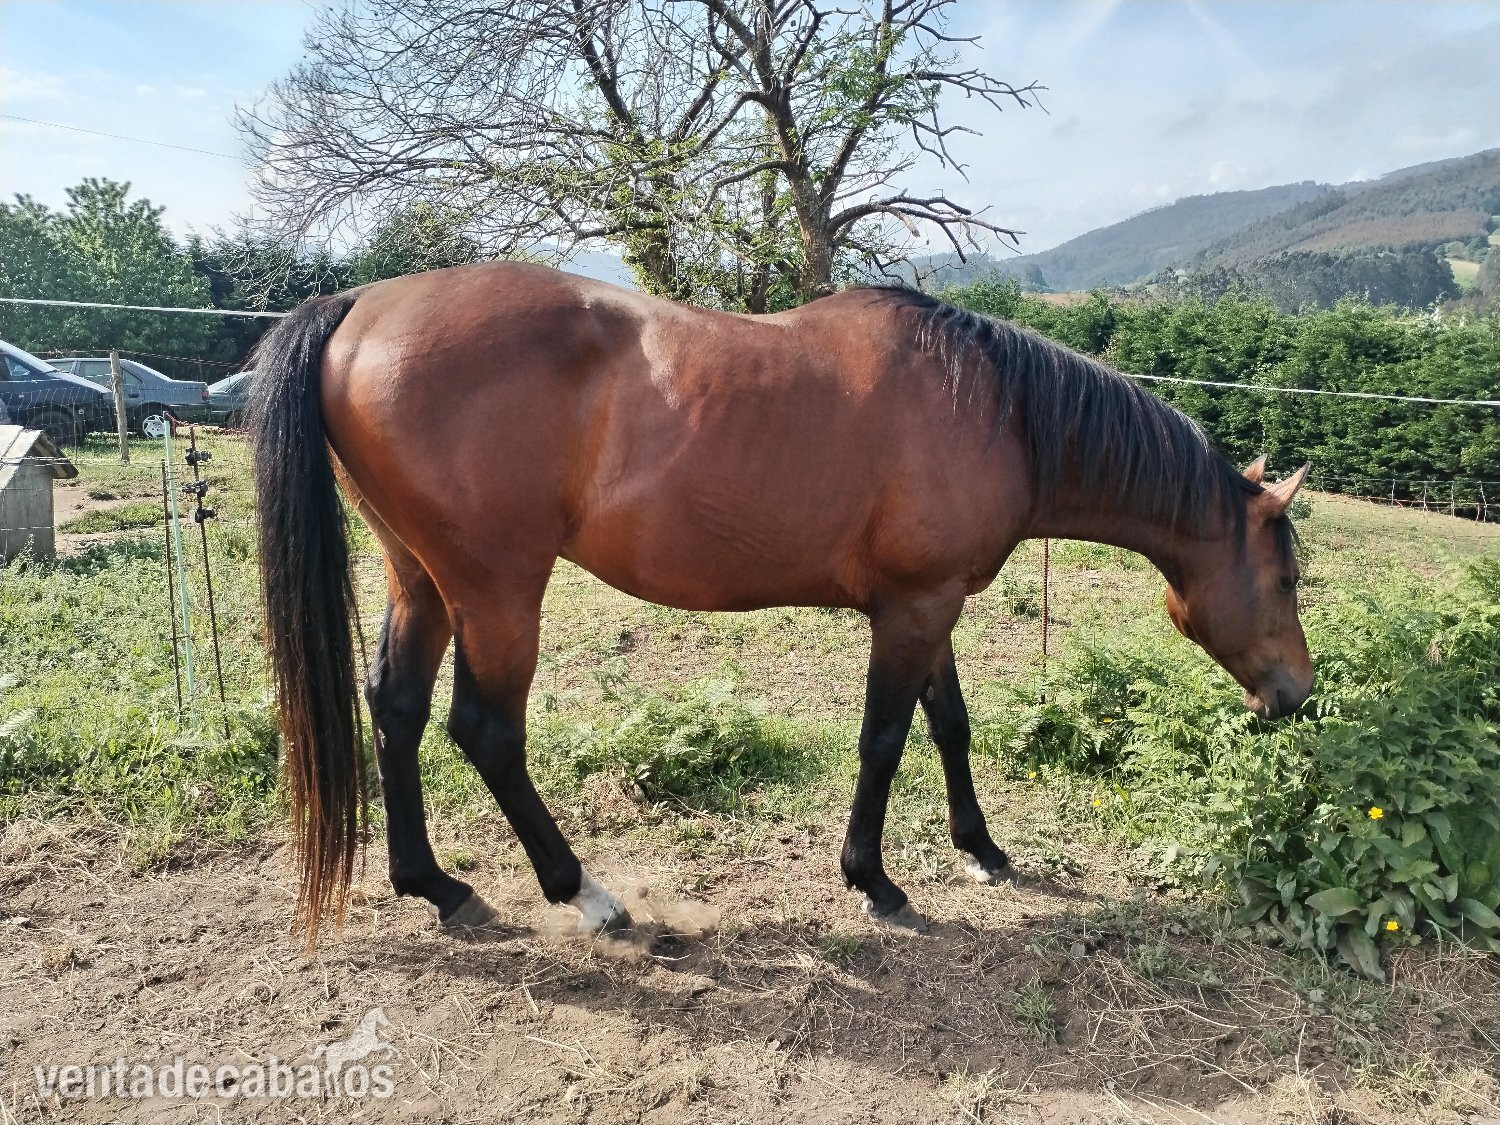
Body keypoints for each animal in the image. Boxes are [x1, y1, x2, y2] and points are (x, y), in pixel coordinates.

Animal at [249, 261, 1312, 943]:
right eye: (1291, 577)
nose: (1296, 694)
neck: (994, 409)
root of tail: (358, 304)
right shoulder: (912, 610)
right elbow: (886, 739)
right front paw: (874, 879)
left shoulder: (933, 604)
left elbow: (950, 725)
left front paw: (982, 847)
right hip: (498, 589)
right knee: (486, 731)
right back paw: (586, 895)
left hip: (419, 577)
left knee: (397, 709)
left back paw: (435, 887)